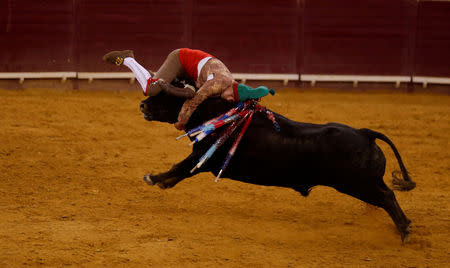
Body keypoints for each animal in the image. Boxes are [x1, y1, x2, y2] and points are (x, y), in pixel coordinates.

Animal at [139, 92, 416, 243]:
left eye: (167, 95)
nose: (142, 105)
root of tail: (363, 132)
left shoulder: (205, 156)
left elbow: (182, 167)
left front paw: (154, 178)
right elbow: (182, 169)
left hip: (357, 184)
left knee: (387, 197)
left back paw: (404, 230)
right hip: (367, 181)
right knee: (386, 196)